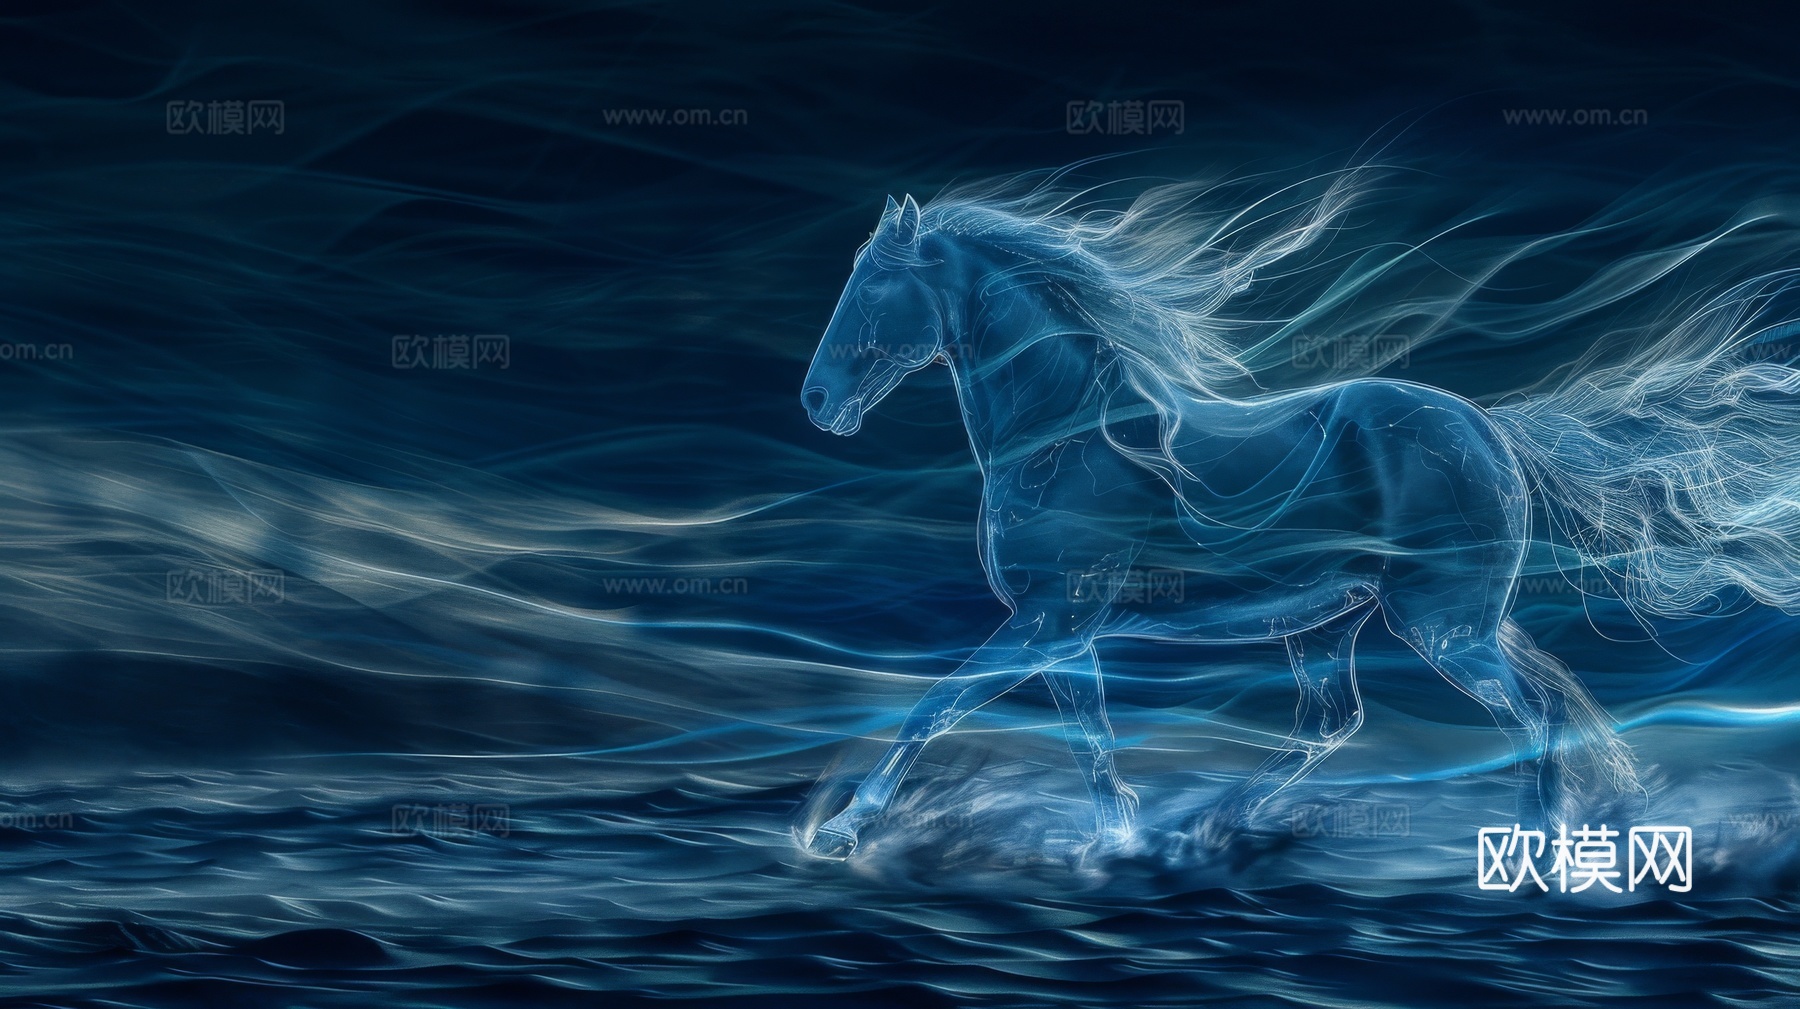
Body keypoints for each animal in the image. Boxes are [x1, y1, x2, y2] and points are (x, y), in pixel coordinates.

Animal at [796, 184, 1796, 860]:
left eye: (872, 286)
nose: (814, 401)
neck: (1067, 433)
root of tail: (1493, 431)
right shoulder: (1067, 630)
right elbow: (1092, 738)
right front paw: (1117, 842)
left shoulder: (1049, 617)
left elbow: (933, 704)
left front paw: (840, 832)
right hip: (1348, 620)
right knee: (1342, 719)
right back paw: (1210, 822)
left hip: (1441, 625)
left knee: (1534, 709)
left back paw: (1534, 844)